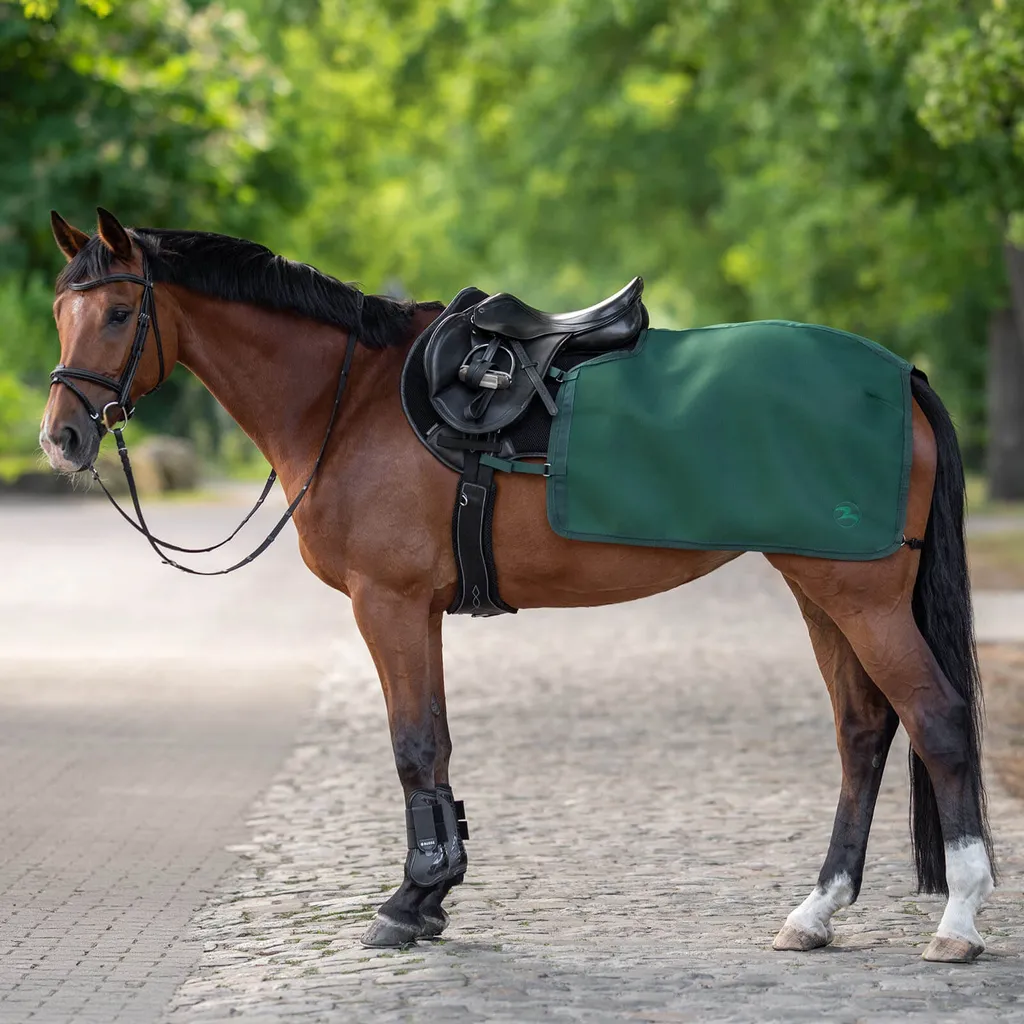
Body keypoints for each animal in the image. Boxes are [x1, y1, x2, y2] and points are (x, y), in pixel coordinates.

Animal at [40, 208, 995, 963]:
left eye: (120, 312)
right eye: (58, 312)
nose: (60, 438)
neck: (350, 401)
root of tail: (900, 374)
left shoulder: (387, 603)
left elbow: (412, 746)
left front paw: (409, 902)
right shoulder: (416, 610)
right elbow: (434, 746)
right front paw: (433, 896)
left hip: (862, 596)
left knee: (938, 721)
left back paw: (959, 918)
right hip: (818, 589)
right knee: (864, 732)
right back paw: (816, 912)